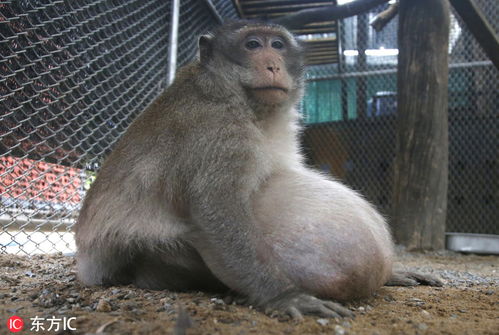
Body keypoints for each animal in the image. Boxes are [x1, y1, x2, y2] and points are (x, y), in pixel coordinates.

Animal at [74, 19, 442, 318]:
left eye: (277, 45)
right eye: (252, 45)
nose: (272, 64)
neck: (242, 101)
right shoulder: (216, 131)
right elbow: (214, 210)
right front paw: (283, 296)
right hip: (135, 255)